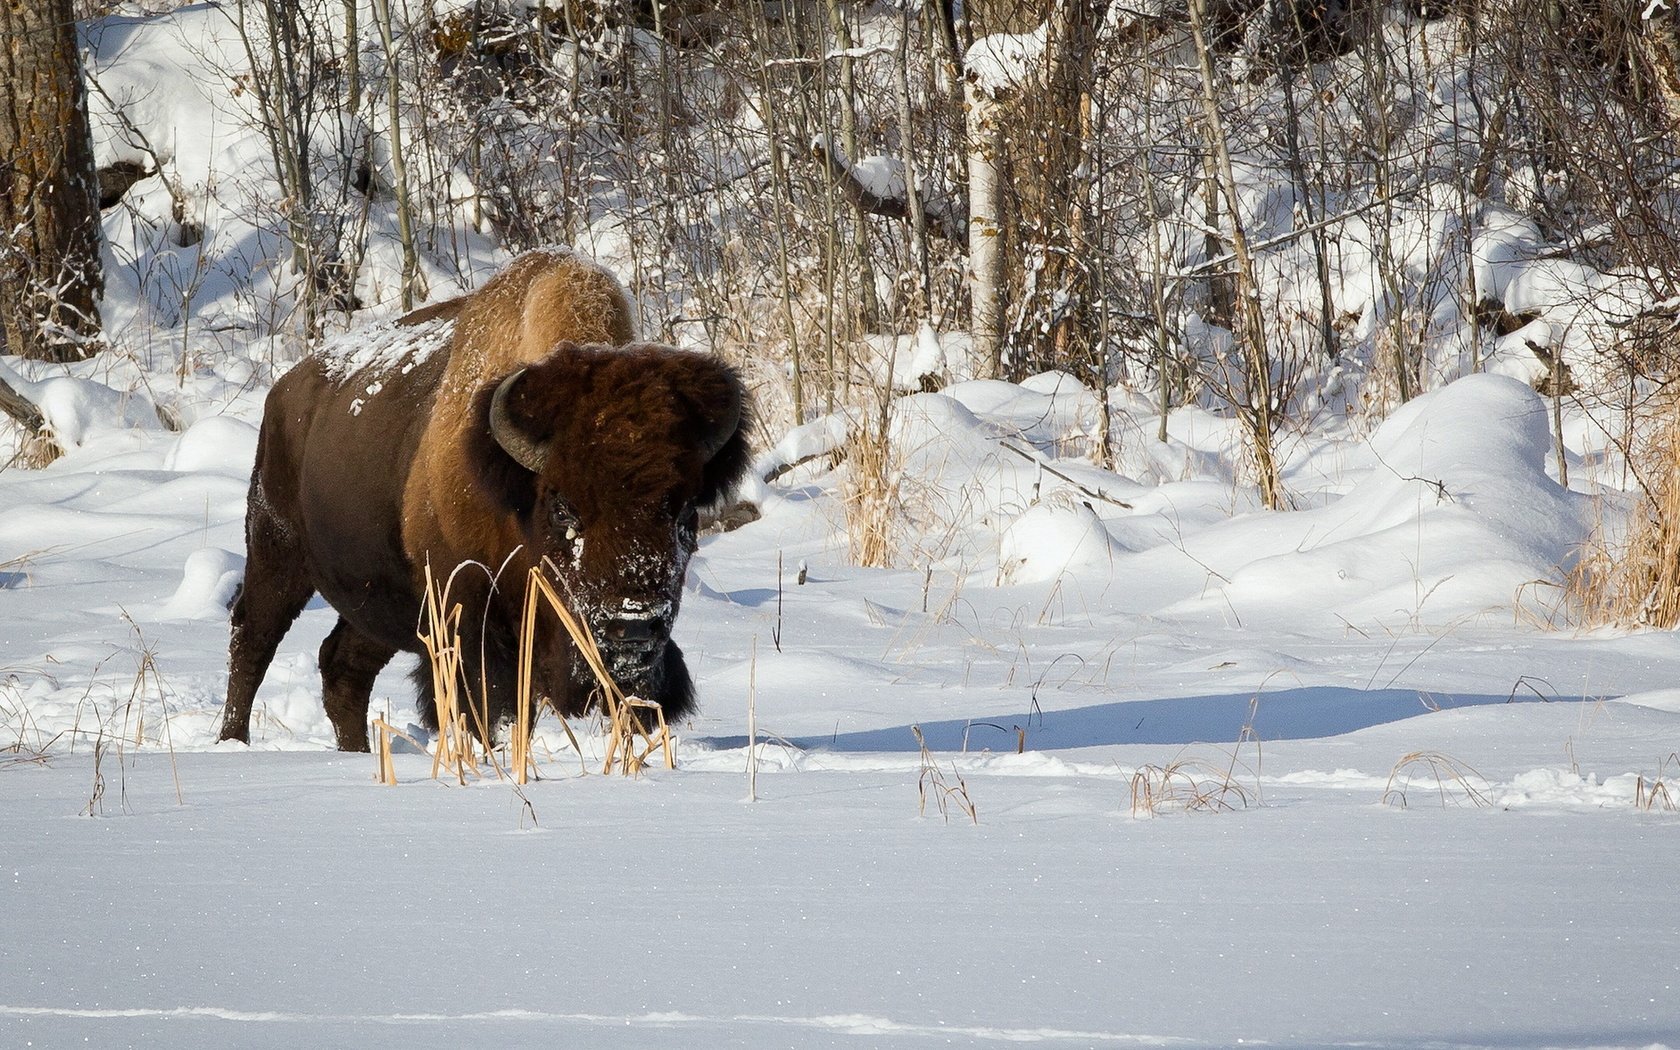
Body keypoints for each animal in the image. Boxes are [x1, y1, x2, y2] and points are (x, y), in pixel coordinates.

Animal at [215, 250, 749, 749]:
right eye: (563, 508)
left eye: (685, 513)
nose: (633, 629)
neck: (515, 495)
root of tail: (283, 391)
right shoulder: (468, 627)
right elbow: (484, 708)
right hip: (277, 552)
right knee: (252, 638)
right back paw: (232, 742)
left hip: (378, 599)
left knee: (343, 667)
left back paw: (357, 752)